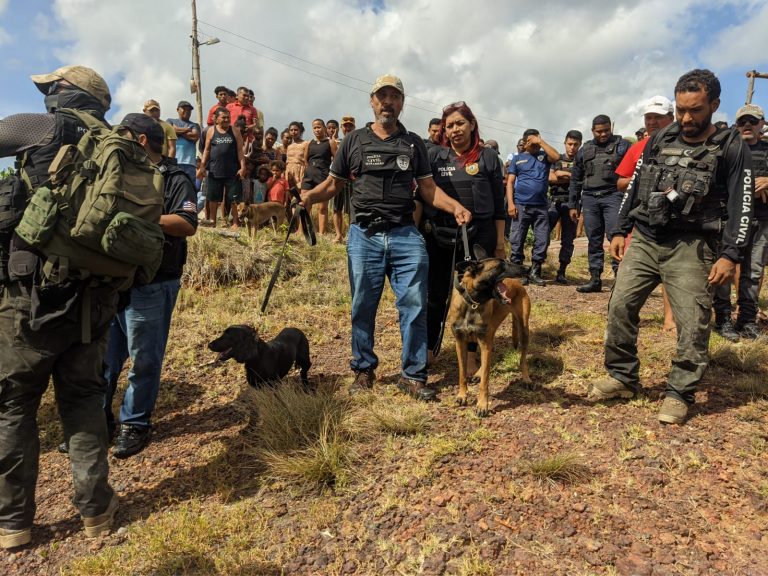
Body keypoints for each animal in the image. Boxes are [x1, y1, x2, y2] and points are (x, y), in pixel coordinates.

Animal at [448, 245, 532, 416]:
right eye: (501, 266)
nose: (528, 268)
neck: (472, 304)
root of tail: (517, 284)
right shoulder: (460, 343)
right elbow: (462, 373)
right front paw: (462, 395)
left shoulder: (484, 341)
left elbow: (485, 380)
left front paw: (482, 405)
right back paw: (477, 374)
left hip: (523, 331)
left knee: (523, 359)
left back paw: (526, 378)